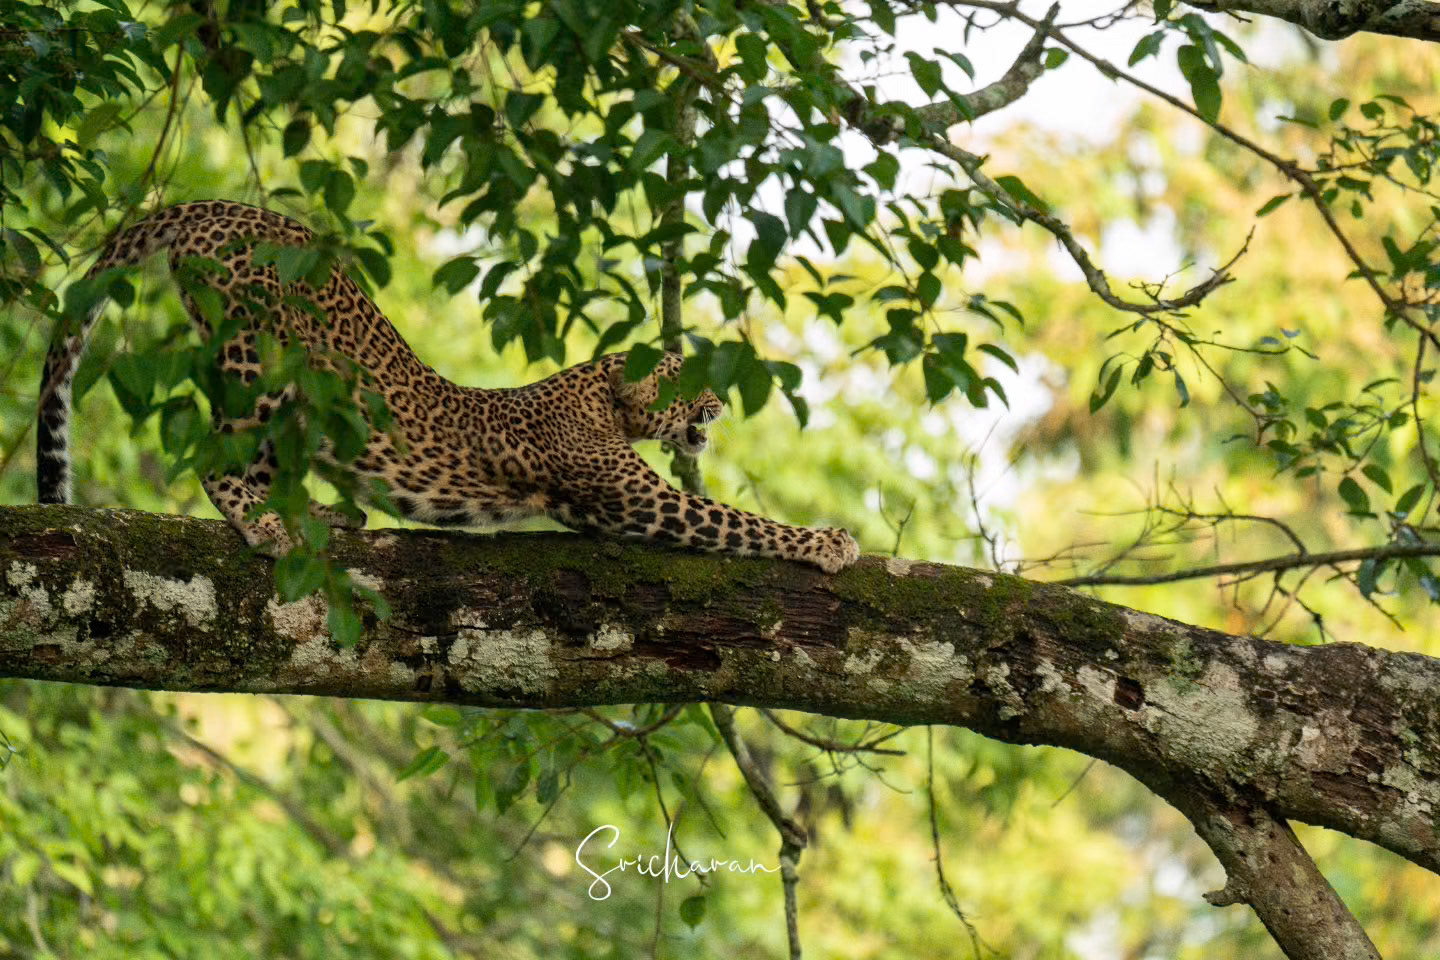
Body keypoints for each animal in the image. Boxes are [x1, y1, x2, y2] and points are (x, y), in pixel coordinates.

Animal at [36, 201, 861, 574]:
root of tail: (217, 206)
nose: (718, 406)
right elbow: (737, 520)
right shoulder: (638, 500)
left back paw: (326, 516)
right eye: (683, 377)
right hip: (259, 360)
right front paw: (829, 541)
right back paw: (264, 522)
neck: (600, 398)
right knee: (218, 459)